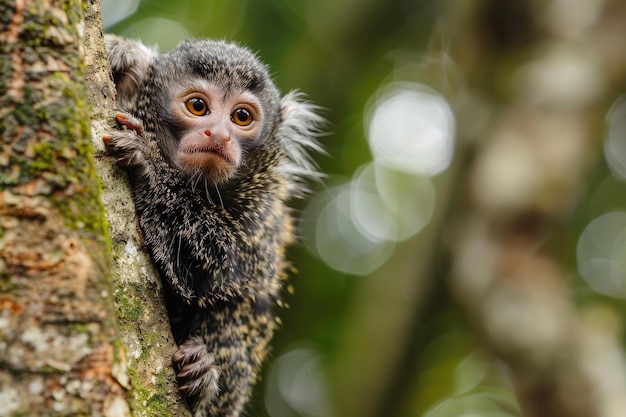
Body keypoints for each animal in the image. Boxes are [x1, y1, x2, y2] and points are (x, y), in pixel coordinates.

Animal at [102, 35, 322, 416]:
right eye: (197, 106)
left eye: (241, 116)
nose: (218, 134)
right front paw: (121, 53)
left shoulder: (262, 219)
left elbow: (218, 270)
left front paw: (149, 164)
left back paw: (201, 375)